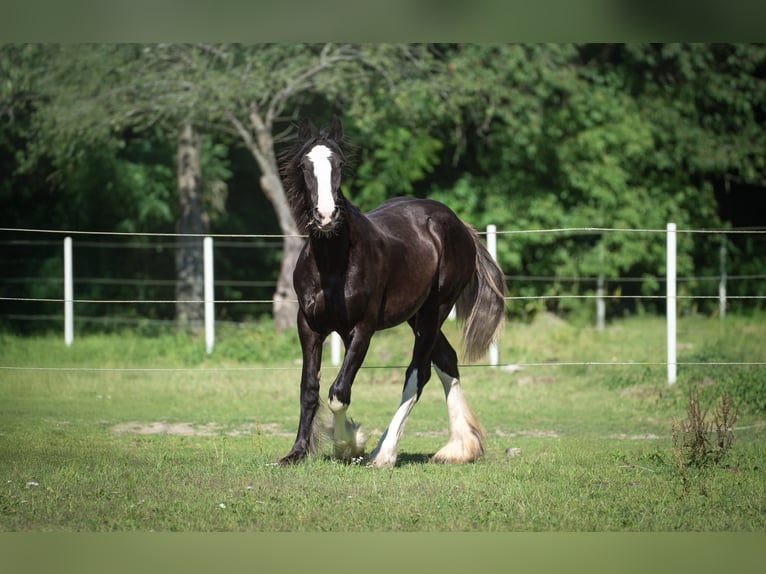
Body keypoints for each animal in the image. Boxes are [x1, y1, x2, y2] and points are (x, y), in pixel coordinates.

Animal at [277, 116, 505, 468]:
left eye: (339, 164)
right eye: (305, 165)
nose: (326, 216)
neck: (333, 263)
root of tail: (457, 224)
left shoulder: (362, 328)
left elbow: (339, 392)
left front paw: (349, 444)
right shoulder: (310, 326)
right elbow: (311, 388)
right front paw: (297, 452)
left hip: (435, 311)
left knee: (418, 373)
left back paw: (384, 453)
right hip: (416, 315)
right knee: (447, 360)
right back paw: (459, 447)